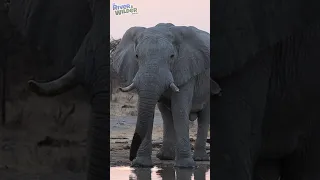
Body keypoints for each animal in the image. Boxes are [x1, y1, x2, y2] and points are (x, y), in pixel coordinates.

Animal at [111, 22, 219, 167]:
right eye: (137, 56)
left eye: (172, 56)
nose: (131, 158)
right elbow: (146, 109)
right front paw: (141, 165)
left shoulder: (186, 68)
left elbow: (179, 108)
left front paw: (185, 166)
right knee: (166, 114)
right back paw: (166, 157)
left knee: (204, 116)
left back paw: (200, 159)